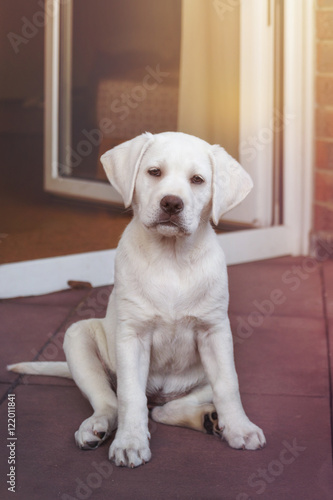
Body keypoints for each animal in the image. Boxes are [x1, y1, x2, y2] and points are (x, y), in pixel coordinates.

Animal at [8, 133, 264, 468]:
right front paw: (130, 443)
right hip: (77, 336)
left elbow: (228, 386)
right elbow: (130, 396)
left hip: (208, 372)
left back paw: (209, 419)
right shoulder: (133, 336)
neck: (171, 257)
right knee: (112, 402)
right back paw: (96, 427)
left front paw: (240, 429)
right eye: (154, 172)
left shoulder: (215, 333)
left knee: (165, 409)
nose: (172, 203)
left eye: (197, 180)